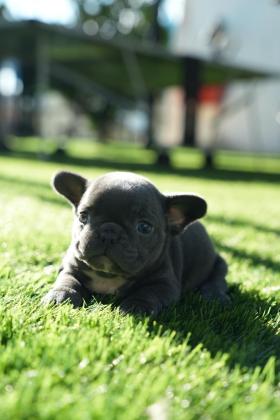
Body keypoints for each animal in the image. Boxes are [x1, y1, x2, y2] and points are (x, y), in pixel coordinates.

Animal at [42, 169, 230, 314]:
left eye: (144, 227)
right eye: (83, 216)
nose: (110, 231)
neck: (109, 275)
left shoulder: (164, 284)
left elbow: (147, 293)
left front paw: (135, 306)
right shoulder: (70, 267)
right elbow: (68, 281)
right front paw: (60, 296)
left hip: (220, 263)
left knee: (218, 278)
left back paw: (214, 294)